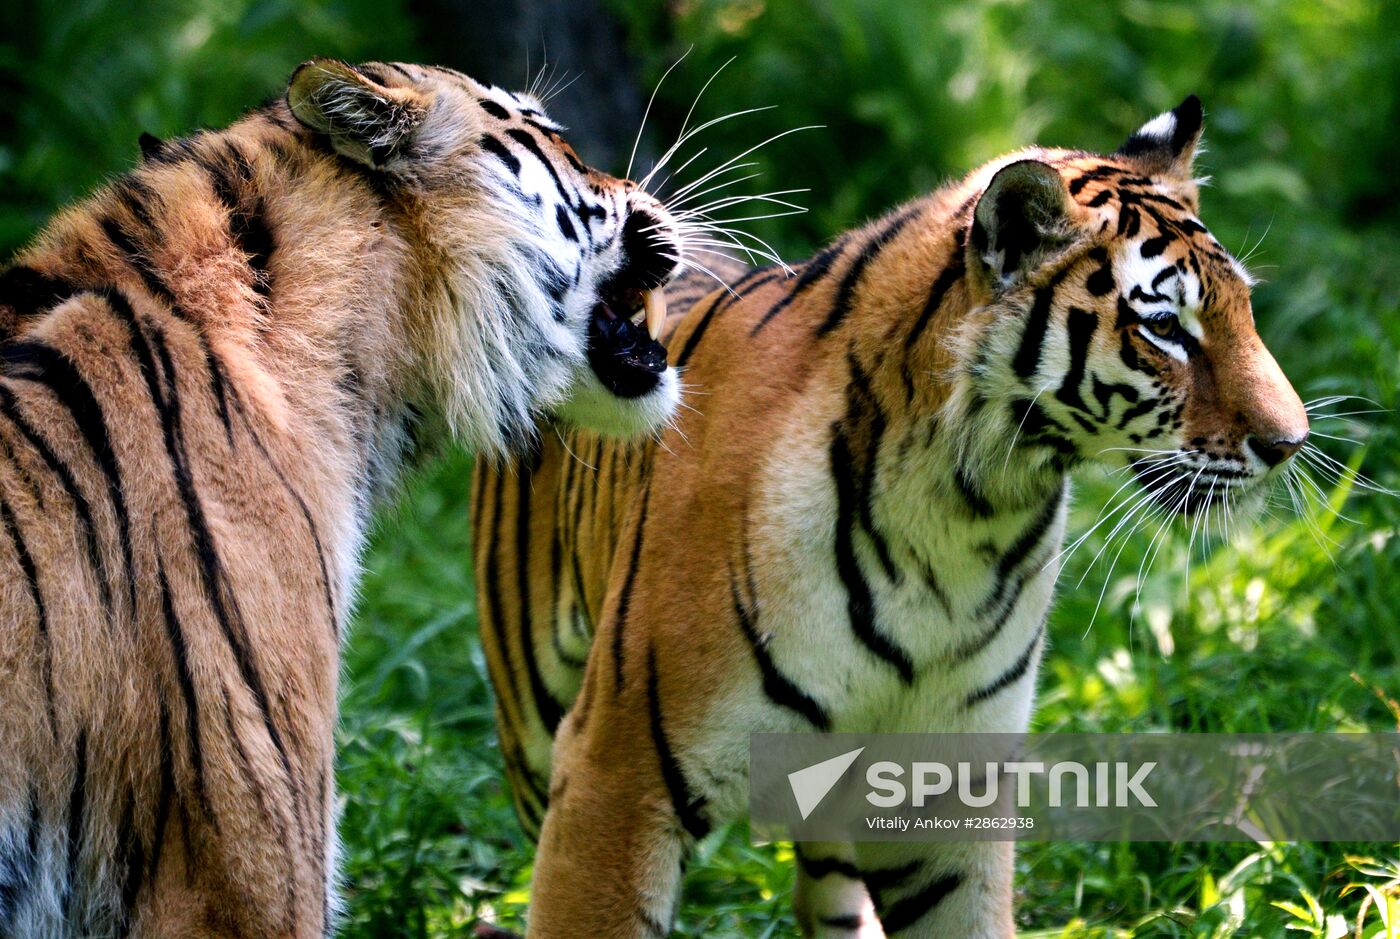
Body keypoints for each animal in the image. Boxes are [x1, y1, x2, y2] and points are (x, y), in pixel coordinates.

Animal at [473, 97, 1310, 939]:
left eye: (1245, 308)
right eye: (1165, 329)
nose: (1290, 442)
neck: (970, 516)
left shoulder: (948, 785)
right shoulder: (618, 771)